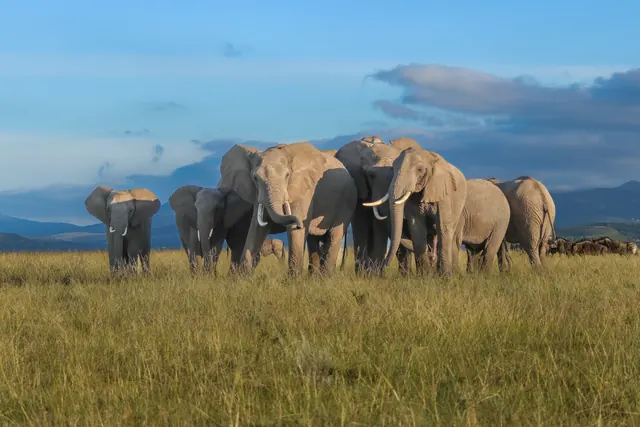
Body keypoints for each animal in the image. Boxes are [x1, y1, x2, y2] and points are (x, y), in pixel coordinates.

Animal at [219, 142, 357, 276]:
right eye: (255, 178)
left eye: (287, 175)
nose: (299, 223)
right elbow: (257, 228)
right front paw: (242, 277)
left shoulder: (304, 192)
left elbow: (295, 232)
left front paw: (294, 279)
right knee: (313, 239)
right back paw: (315, 277)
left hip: (346, 203)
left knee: (334, 236)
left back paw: (325, 277)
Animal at [371, 144, 467, 276]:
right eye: (393, 168)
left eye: (420, 170)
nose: (385, 265)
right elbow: (416, 227)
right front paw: (424, 276)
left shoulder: (444, 192)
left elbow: (443, 226)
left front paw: (445, 277)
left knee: (452, 236)